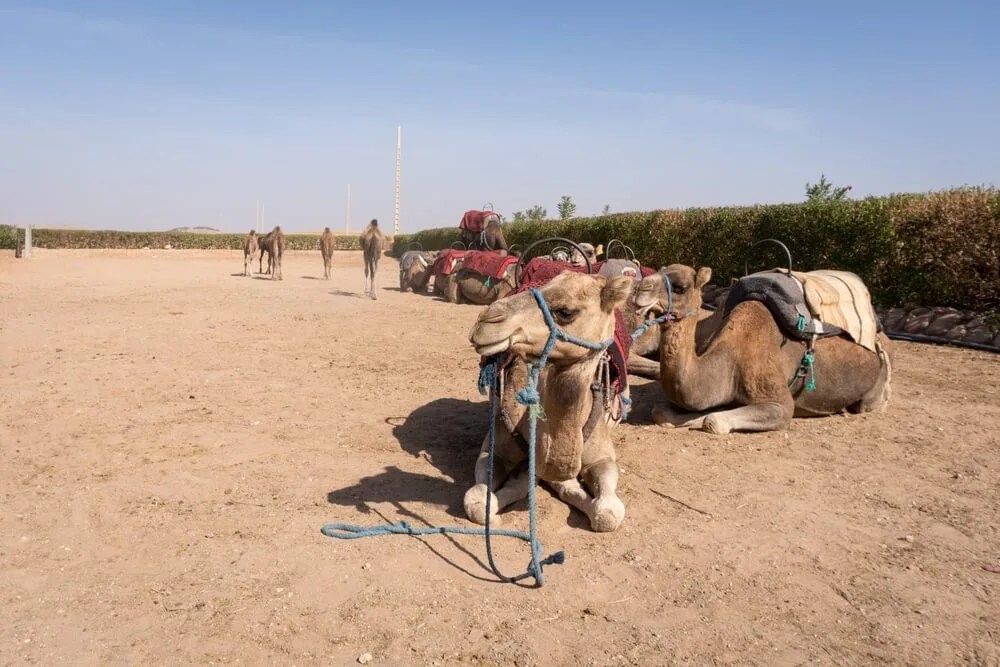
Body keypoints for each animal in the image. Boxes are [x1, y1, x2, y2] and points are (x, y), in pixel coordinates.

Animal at [466, 271, 637, 532]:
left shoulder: (603, 458)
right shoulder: (495, 449)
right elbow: (478, 502)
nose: (486, 320)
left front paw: (570, 486)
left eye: (566, 311)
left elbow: (608, 514)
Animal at [633, 264, 893, 434]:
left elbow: (712, 421)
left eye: (680, 287)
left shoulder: (779, 403)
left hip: (875, 389)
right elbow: (660, 411)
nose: (640, 289)